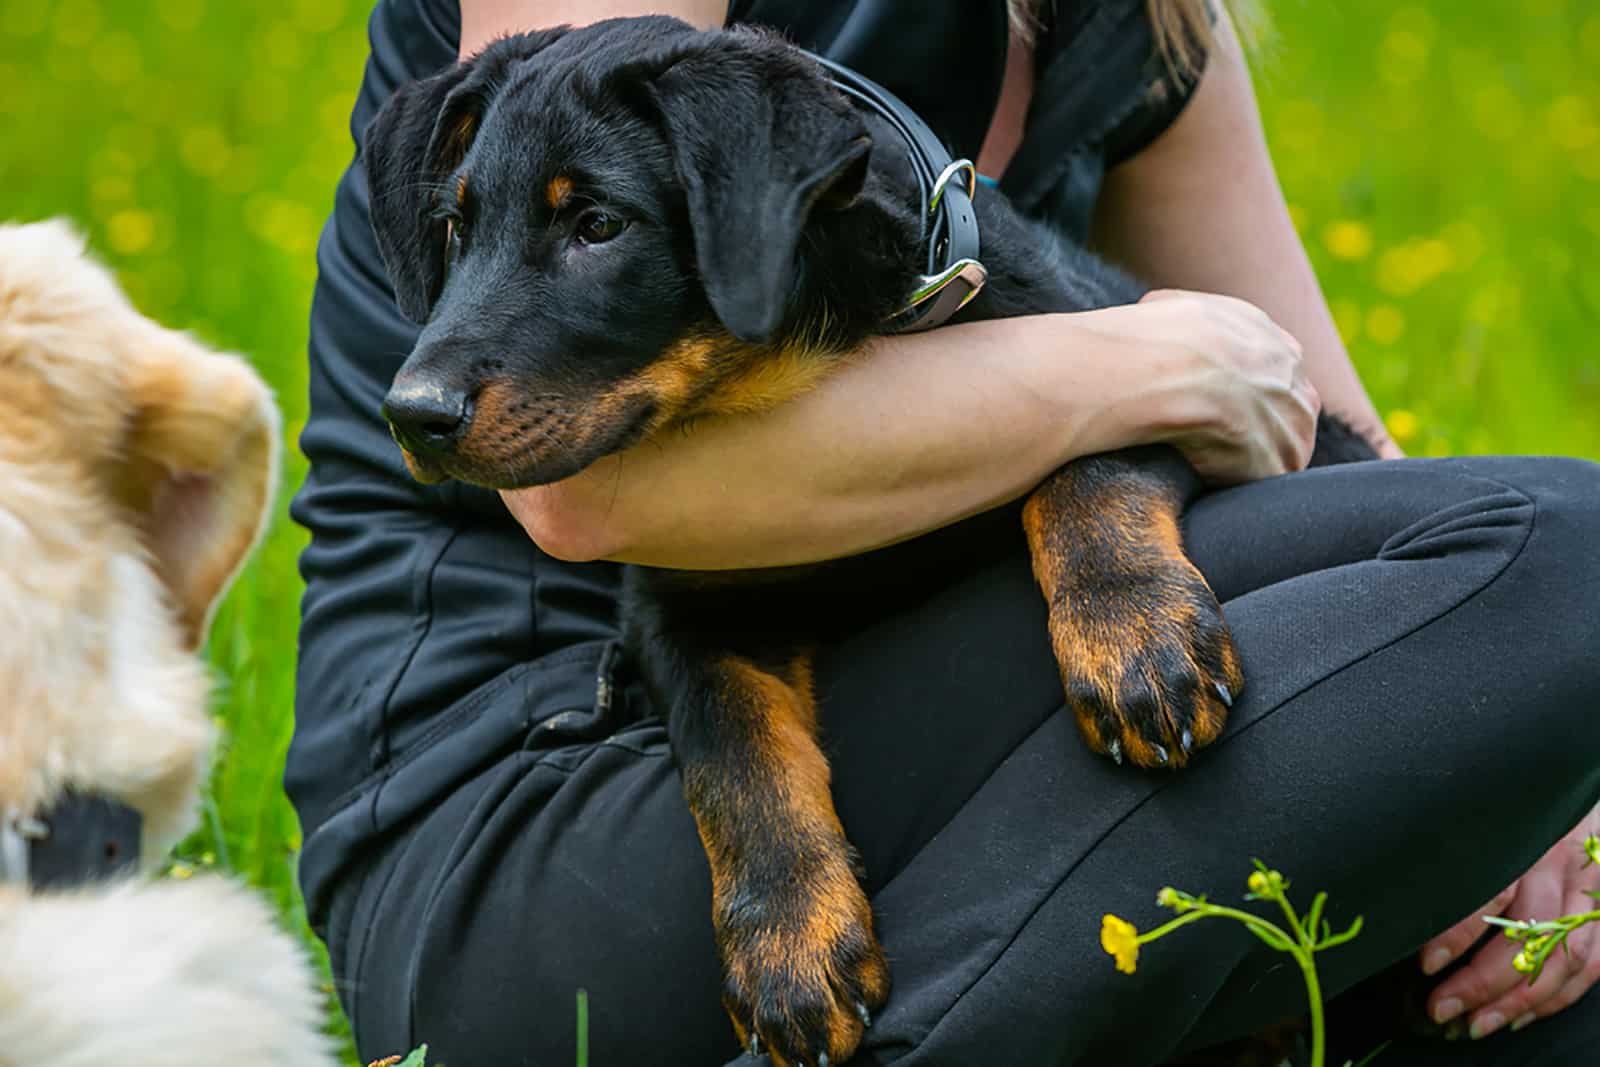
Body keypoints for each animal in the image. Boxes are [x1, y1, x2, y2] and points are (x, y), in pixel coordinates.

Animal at [366, 18, 1376, 1067]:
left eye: (598, 225)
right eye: (455, 227)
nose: (412, 415)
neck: (794, 359)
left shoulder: (1136, 359)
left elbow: (1085, 472)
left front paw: (1135, 641)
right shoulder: (675, 602)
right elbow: (734, 758)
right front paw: (789, 948)